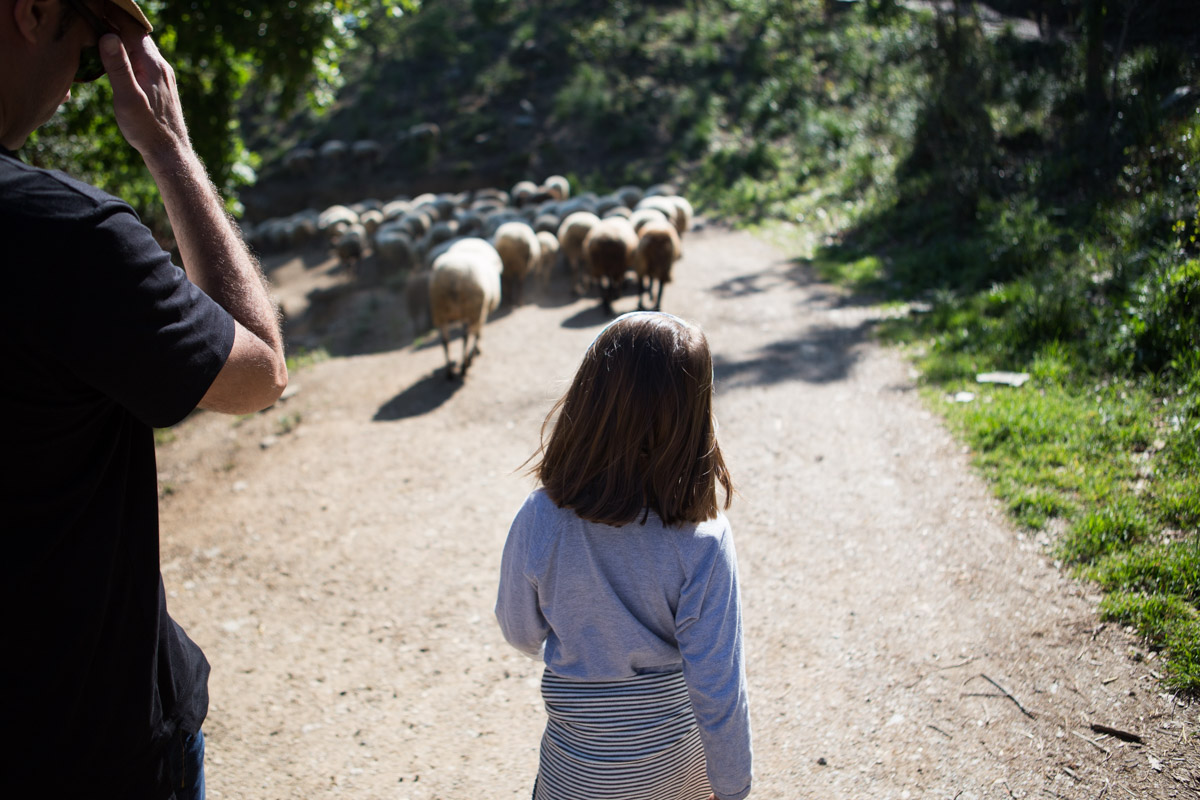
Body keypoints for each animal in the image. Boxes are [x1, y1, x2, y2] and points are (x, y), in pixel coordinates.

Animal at [427, 236, 501, 381]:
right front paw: (475, 352)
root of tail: (454, 276)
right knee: (465, 337)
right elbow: (477, 334)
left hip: (440, 312)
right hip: (472, 310)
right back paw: (464, 367)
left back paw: (449, 371)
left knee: (445, 341)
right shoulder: (481, 313)